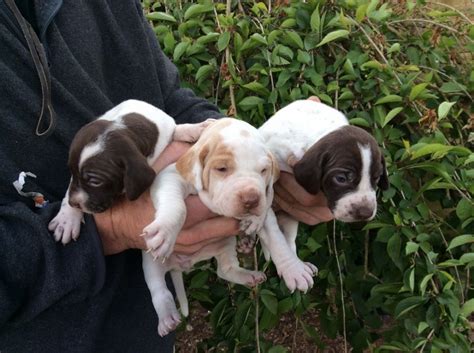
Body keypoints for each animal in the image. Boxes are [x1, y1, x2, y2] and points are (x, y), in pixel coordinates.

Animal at [252, 99, 388, 292]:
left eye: (376, 178)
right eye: (341, 179)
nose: (365, 212)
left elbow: (285, 236)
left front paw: (295, 265)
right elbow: (274, 235)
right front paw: (293, 270)